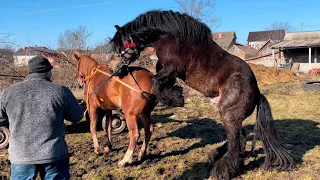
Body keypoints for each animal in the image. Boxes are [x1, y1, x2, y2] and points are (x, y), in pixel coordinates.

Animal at [109, 10, 292, 180]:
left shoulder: (174, 67)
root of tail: (257, 91)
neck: (171, 39)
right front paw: (175, 92)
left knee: (235, 139)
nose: (114, 70)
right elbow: (159, 74)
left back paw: (222, 170)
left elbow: (156, 79)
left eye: (119, 48)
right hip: (232, 115)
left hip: (228, 113)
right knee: (241, 138)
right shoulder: (167, 68)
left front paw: (175, 99)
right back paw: (220, 157)